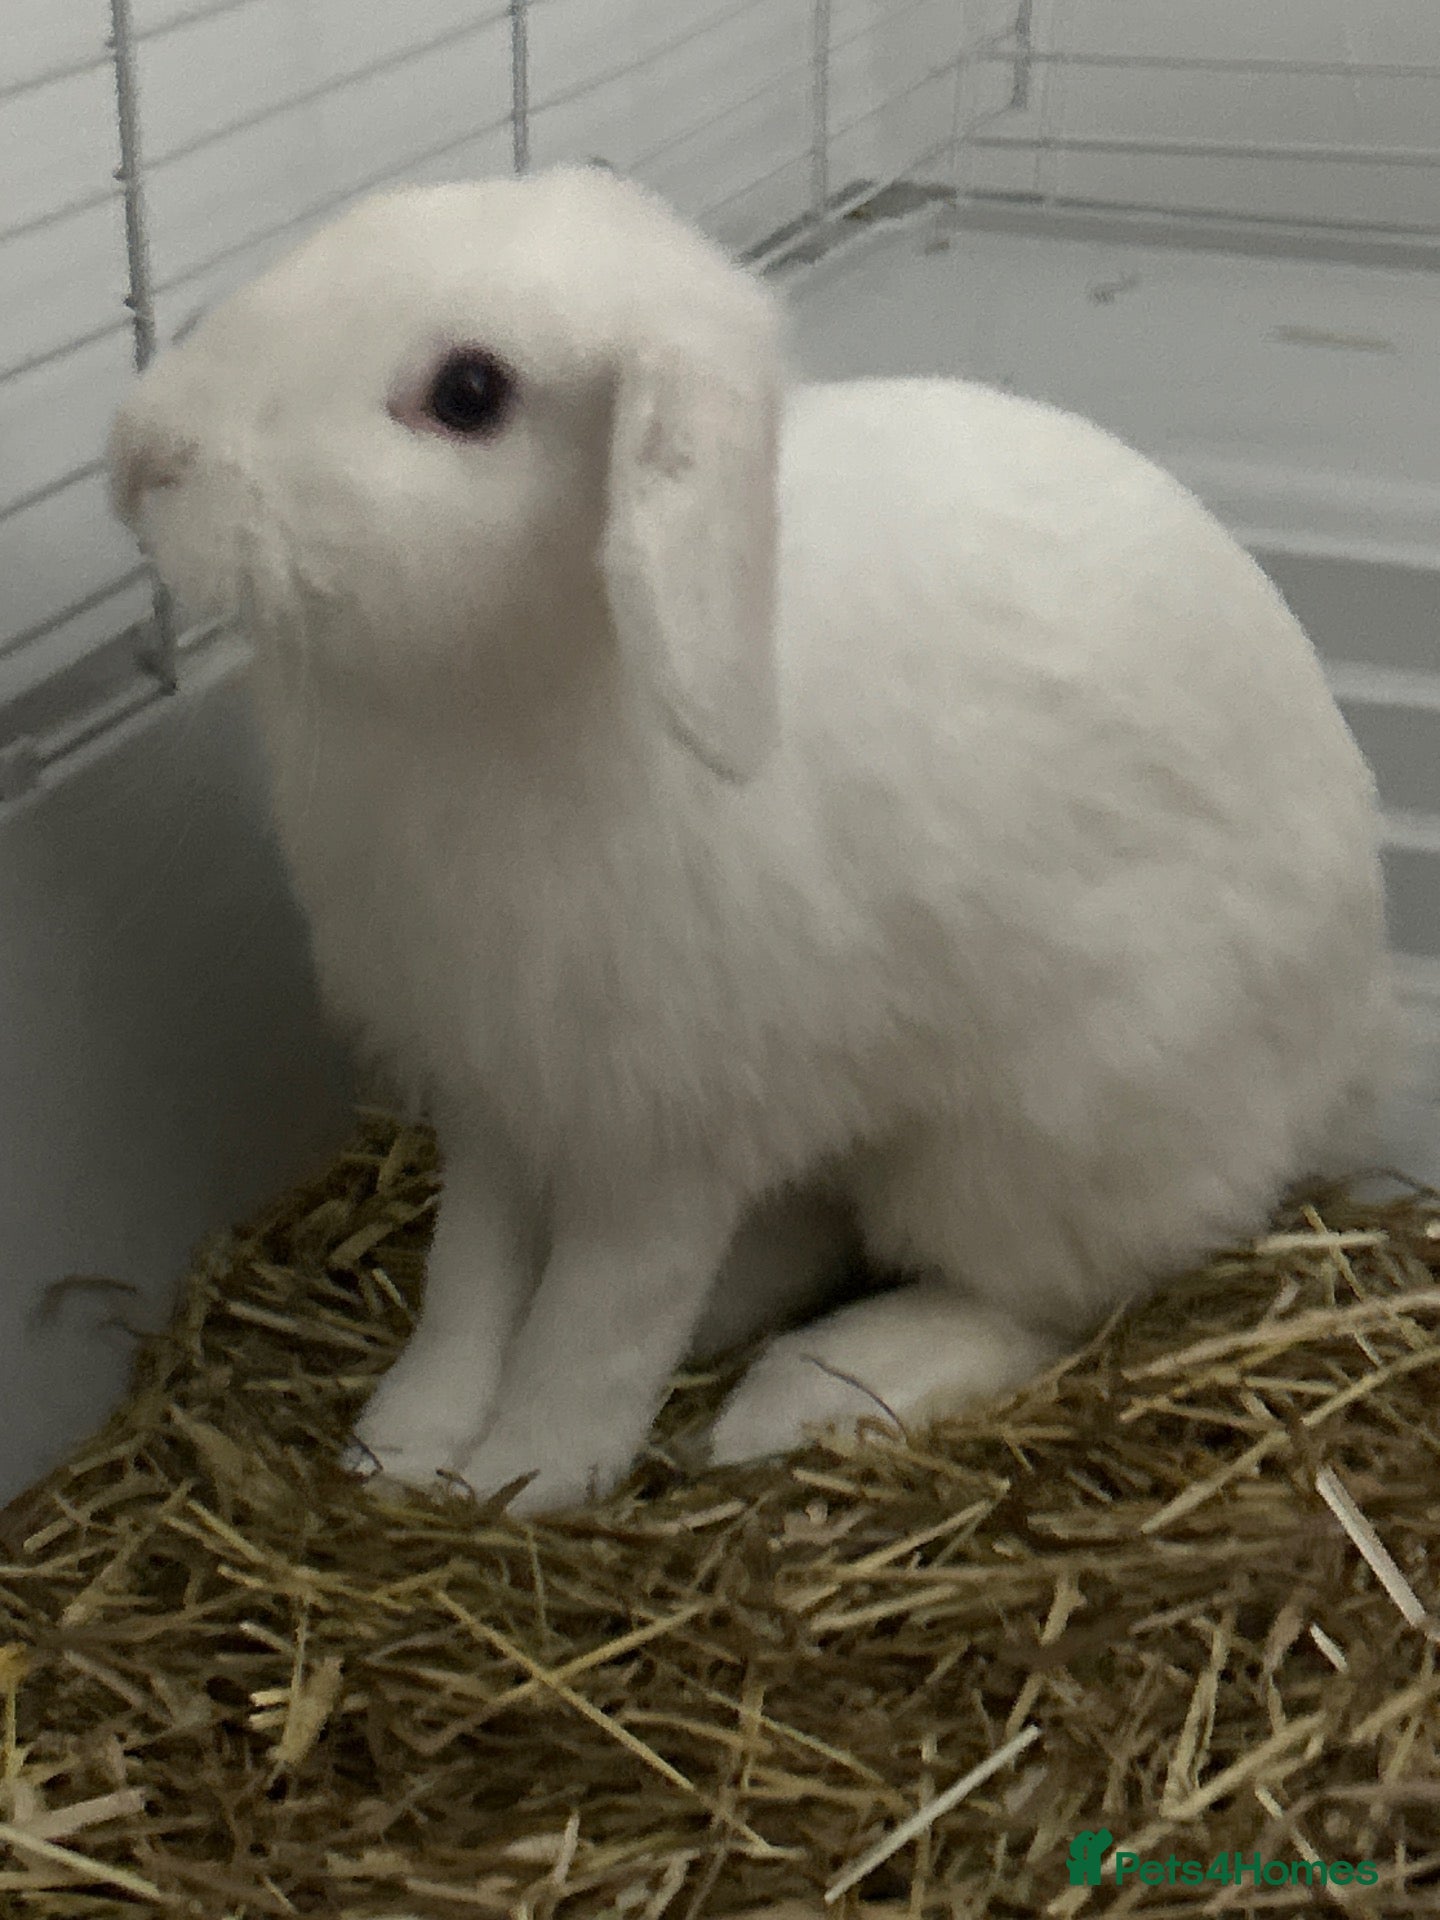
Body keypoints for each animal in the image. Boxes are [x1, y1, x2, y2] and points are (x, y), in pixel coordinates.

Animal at [108, 163, 1404, 1515]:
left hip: (1052, 1133)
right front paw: (402, 1448)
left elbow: (599, 1319)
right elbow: (469, 1280)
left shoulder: (666, 1134)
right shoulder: (492, 1094)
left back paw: (810, 1393)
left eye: (470, 393)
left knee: (1045, 1298)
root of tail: (1349, 1053)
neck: (511, 680)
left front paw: (529, 1474)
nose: (143, 452)